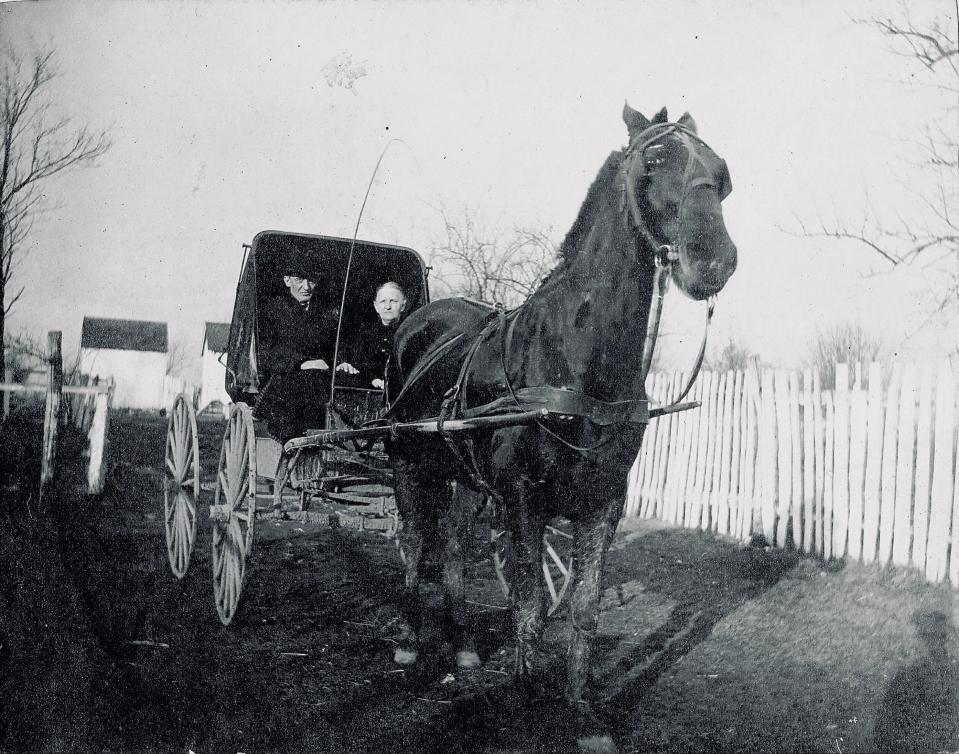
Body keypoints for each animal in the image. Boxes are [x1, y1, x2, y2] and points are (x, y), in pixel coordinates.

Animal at [382, 103, 736, 748]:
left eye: (721, 172)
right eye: (655, 158)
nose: (715, 260)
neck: (576, 358)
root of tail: (416, 322)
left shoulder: (604, 501)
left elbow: (584, 610)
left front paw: (581, 712)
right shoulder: (525, 500)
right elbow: (526, 608)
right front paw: (524, 706)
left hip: (467, 481)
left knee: (452, 550)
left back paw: (464, 649)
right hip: (407, 463)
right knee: (418, 544)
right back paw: (408, 644)